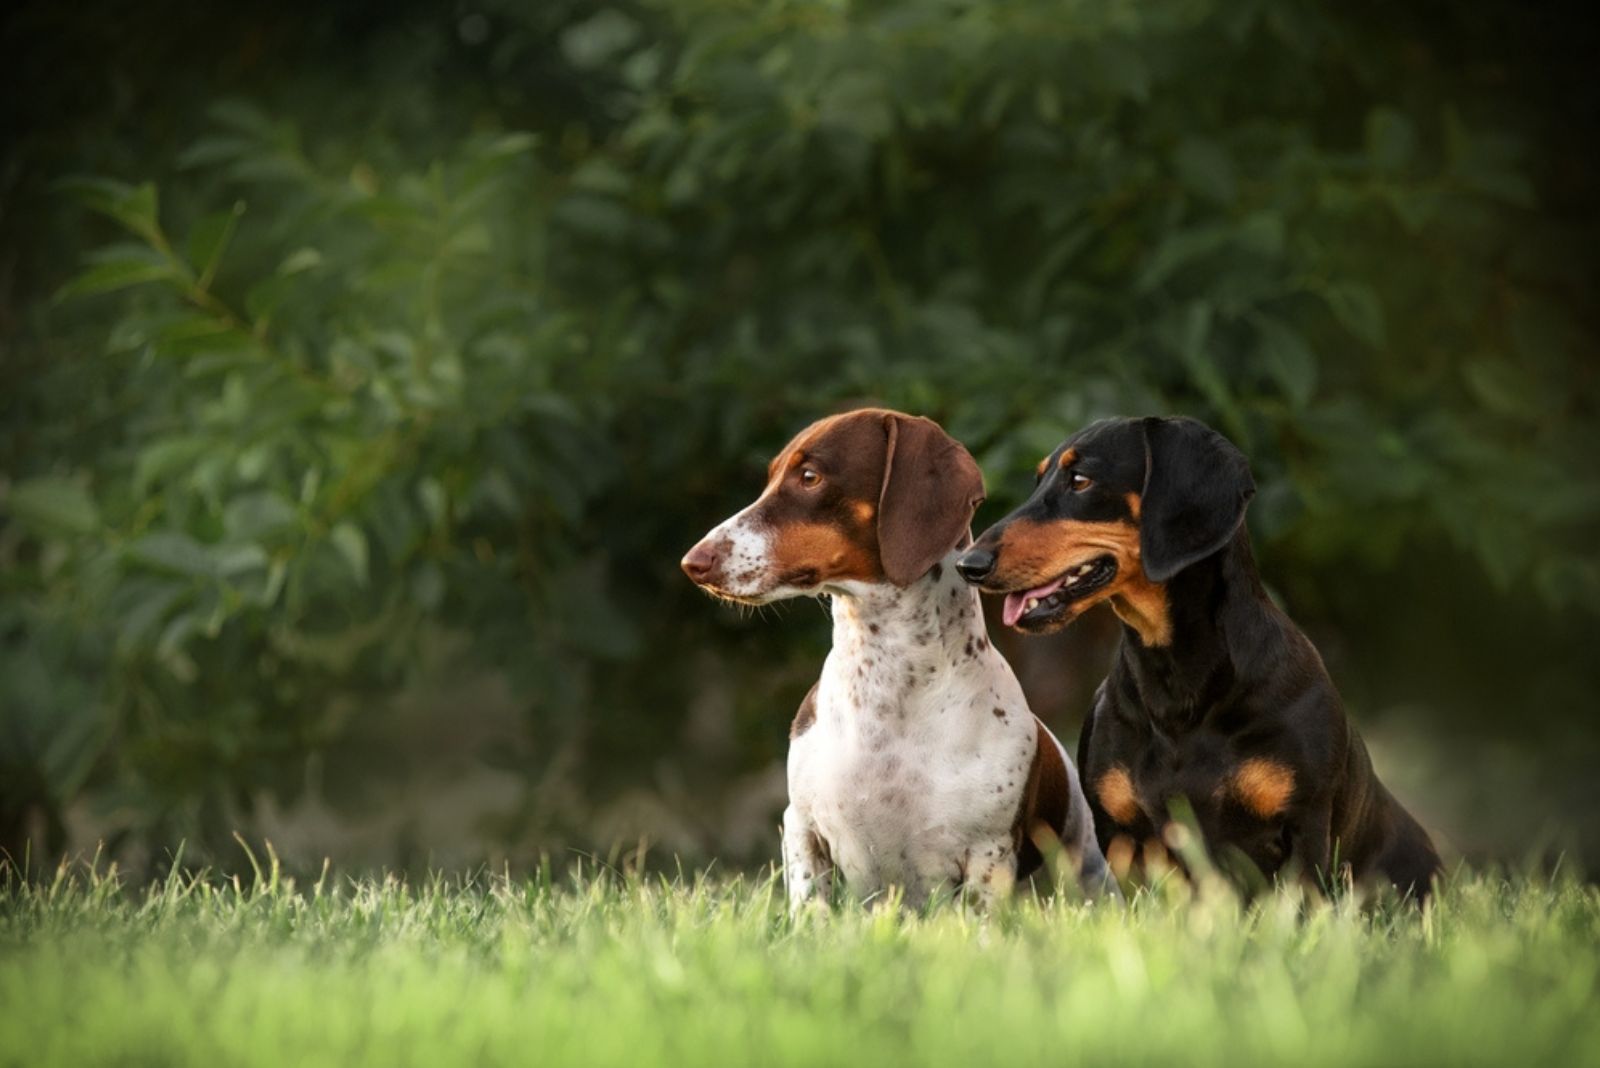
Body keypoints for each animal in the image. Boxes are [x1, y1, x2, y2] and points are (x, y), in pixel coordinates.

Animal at [678, 409, 1113, 908]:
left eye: (809, 477)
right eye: (771, 477)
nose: (693, 562)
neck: (887, 686)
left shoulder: (988, 853)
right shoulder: (801, 830)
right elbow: (812, 905)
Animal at [947, 412, 1440, 895]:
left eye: (1081, 480)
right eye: (1040, 479)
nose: (969, 565)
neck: (1179, 688)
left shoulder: (1305, 827)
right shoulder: (1123, 839)